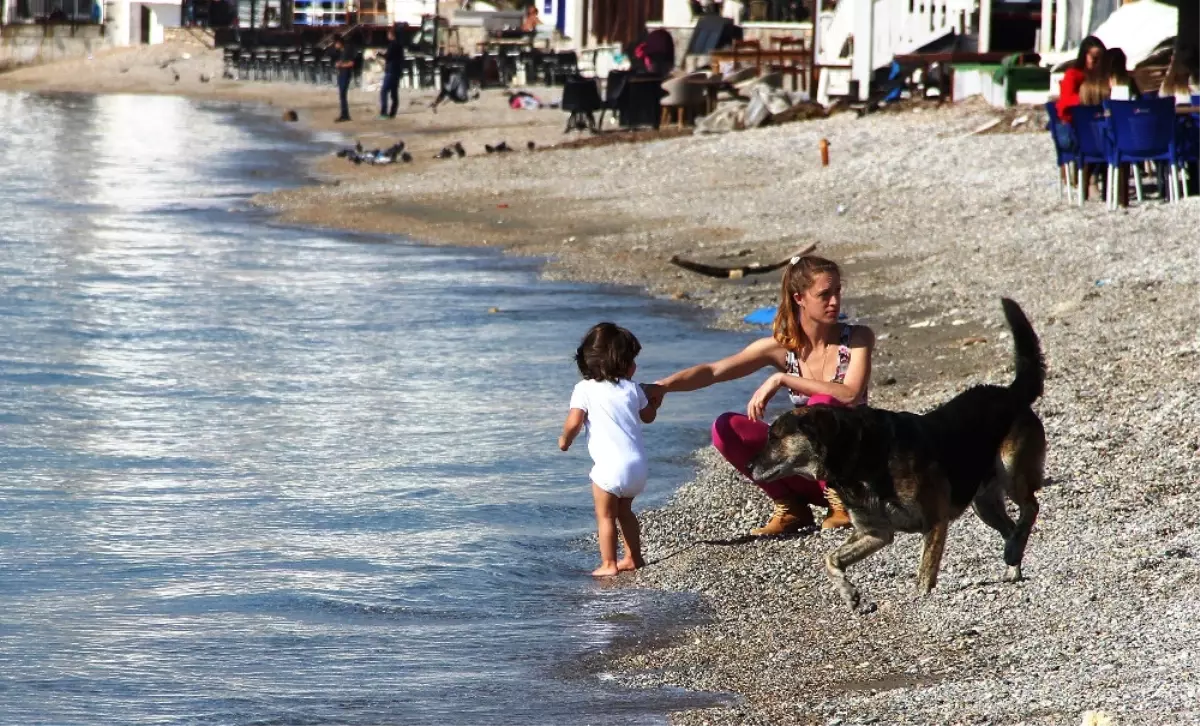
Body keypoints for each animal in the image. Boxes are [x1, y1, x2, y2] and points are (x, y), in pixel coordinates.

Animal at [748, 298, 1051, 612]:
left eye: (774, 437)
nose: (748, 465)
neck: (857, 456)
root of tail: (1011, 393)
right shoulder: (875, 532)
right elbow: (832, 559)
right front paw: (849, 593)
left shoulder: (934, 521)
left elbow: (925, 571)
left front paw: (920, 597)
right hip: (984, 502)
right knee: (1011, 526)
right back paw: (1012, 561)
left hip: (1011, 469)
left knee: (1030, 507)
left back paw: (1014, 549)